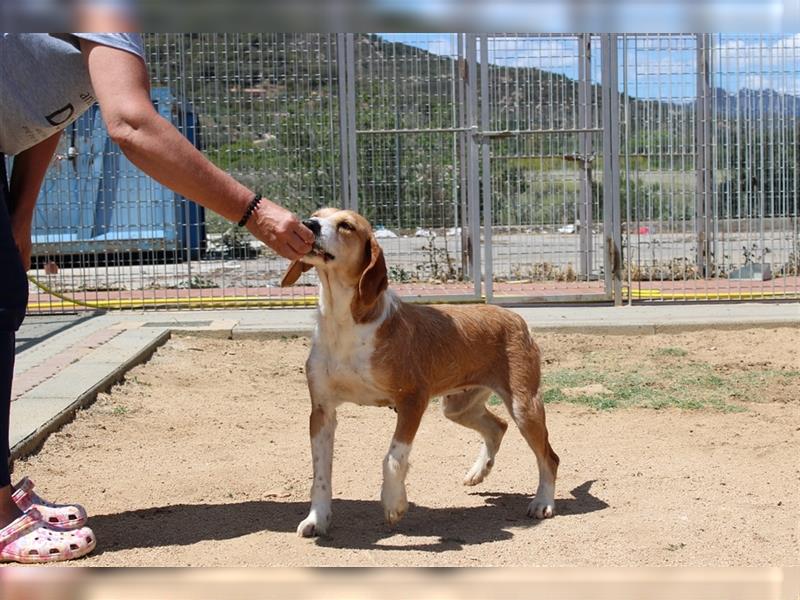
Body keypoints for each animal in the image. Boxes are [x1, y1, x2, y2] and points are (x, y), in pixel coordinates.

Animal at [284, 209, 560, 536]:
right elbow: (320, 475)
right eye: (316, 215)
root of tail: (514, 316)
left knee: (549, 457)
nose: (307, 225)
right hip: (458, 407)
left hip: (524, 406)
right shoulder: (322, 411)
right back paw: (479, 471)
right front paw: (317, 518)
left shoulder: (413, 400)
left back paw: (543, 502)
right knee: (498, 426)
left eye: (346, 225)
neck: (344, 323)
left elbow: (393, 457)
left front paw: (394, 503)